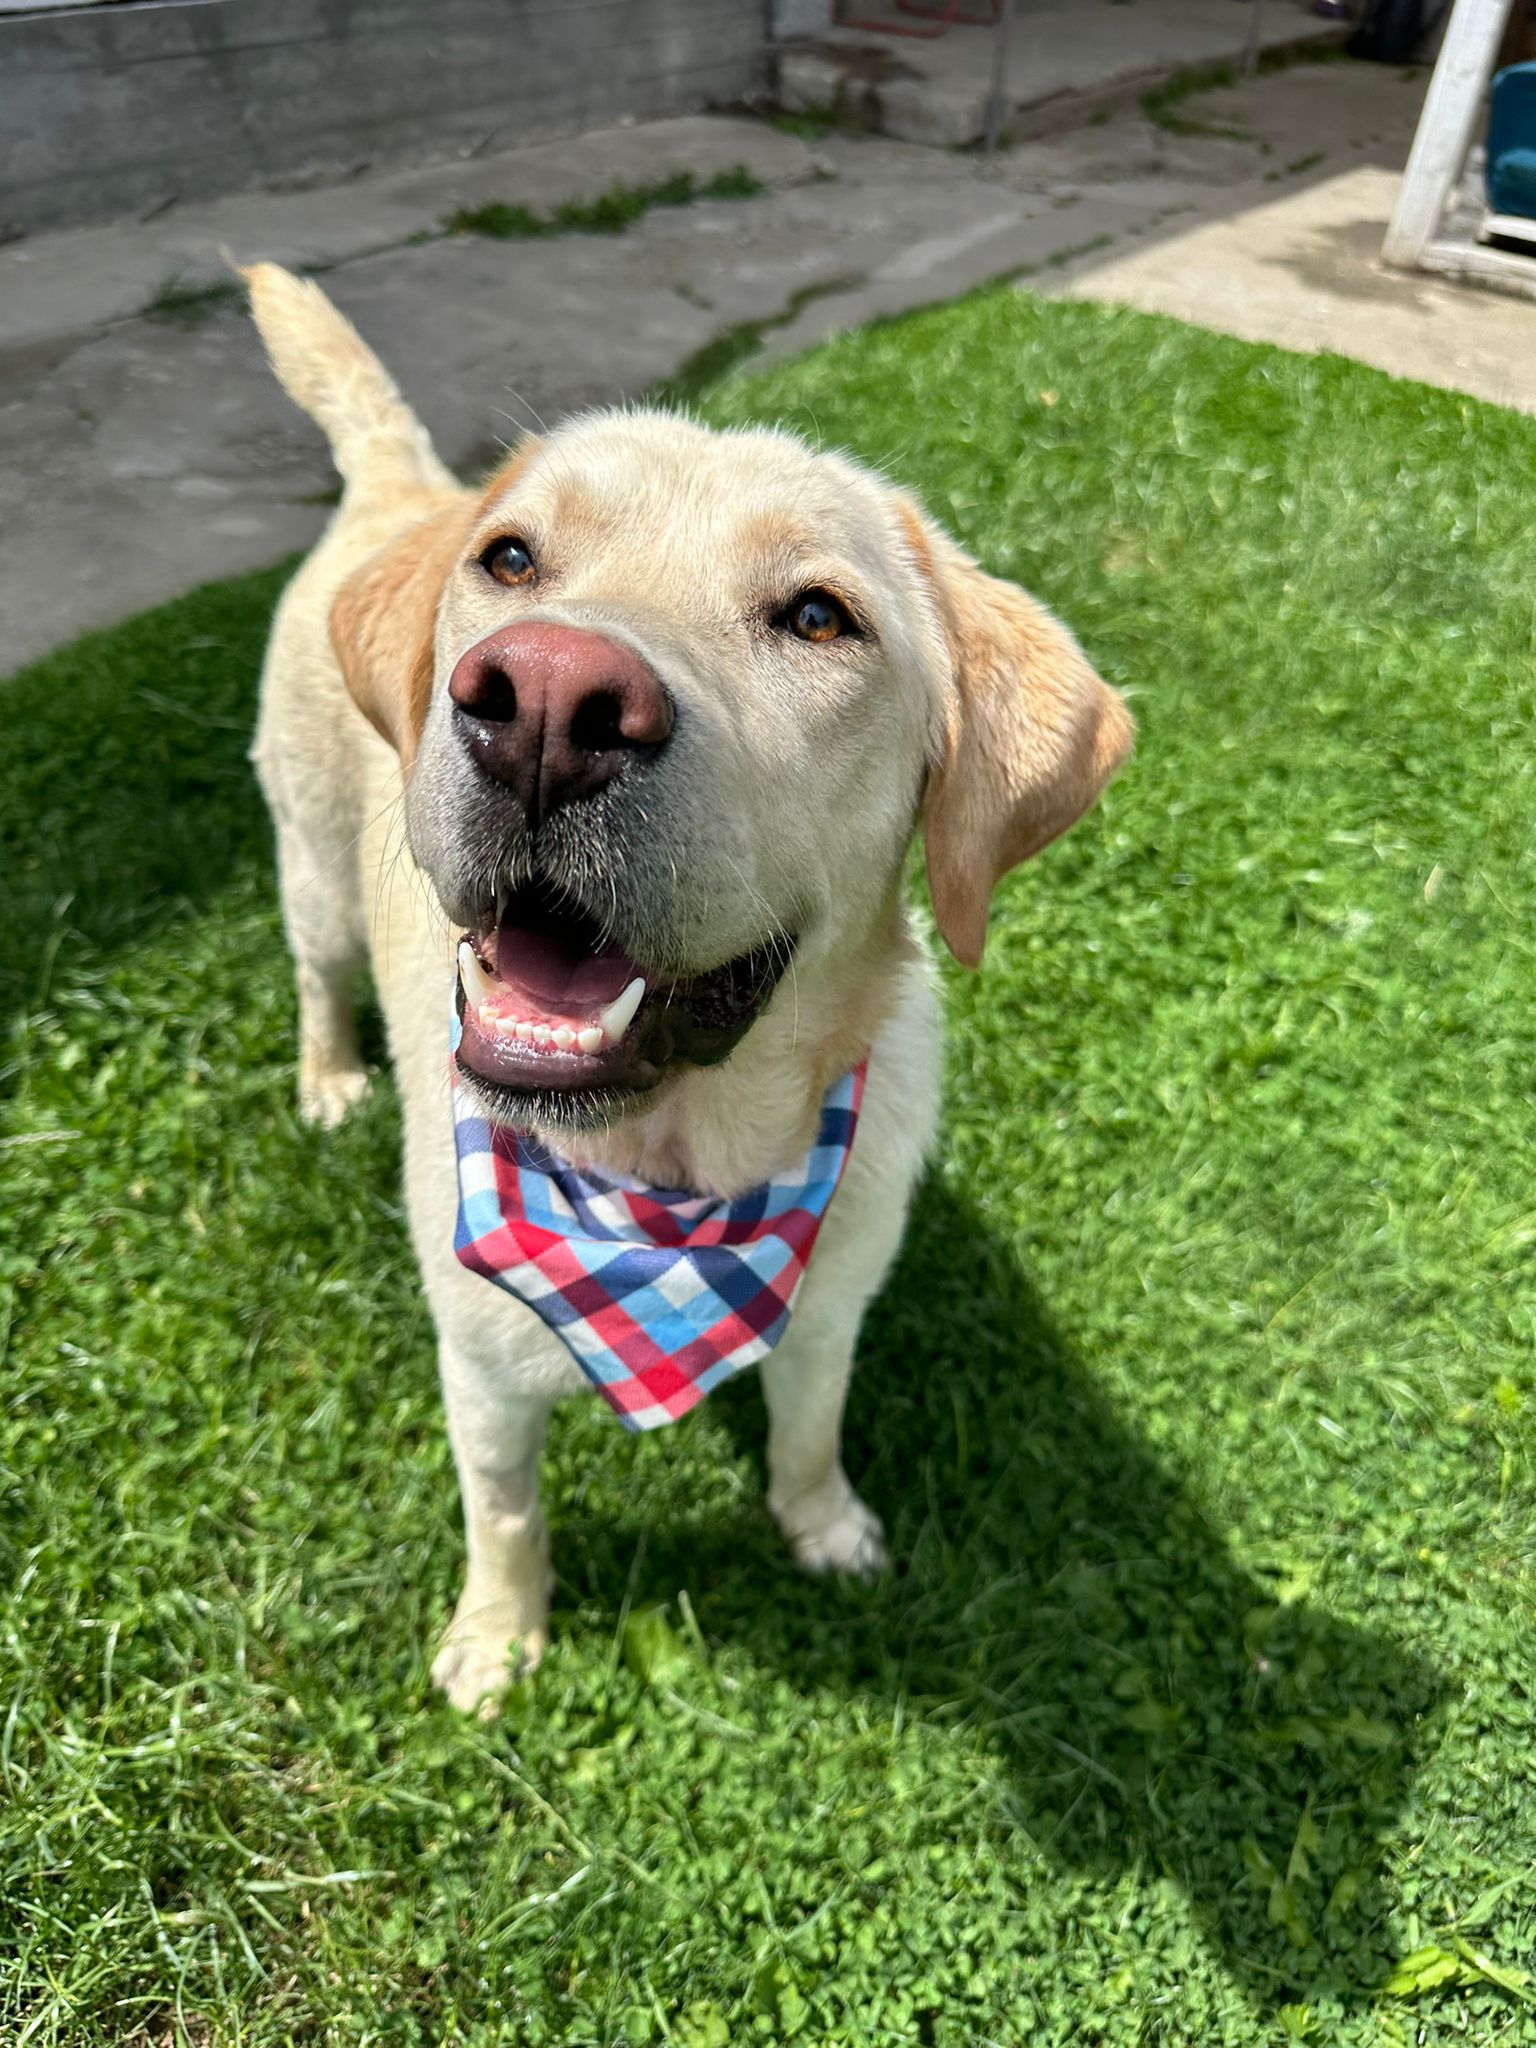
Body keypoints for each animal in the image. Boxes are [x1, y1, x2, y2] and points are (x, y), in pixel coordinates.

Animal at [246, 263, 1132, 1714]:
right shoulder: (479, 1370)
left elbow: (811, 1425)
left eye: (819, 616)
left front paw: (821, 1523)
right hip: (313, 873)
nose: (547, 702)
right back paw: (328, 1078)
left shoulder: (832, 1308)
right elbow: (505, 1513)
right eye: (512, 560)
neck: (671, 1182)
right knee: (320, 978)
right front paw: (498, 1635)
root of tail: (407, 486)